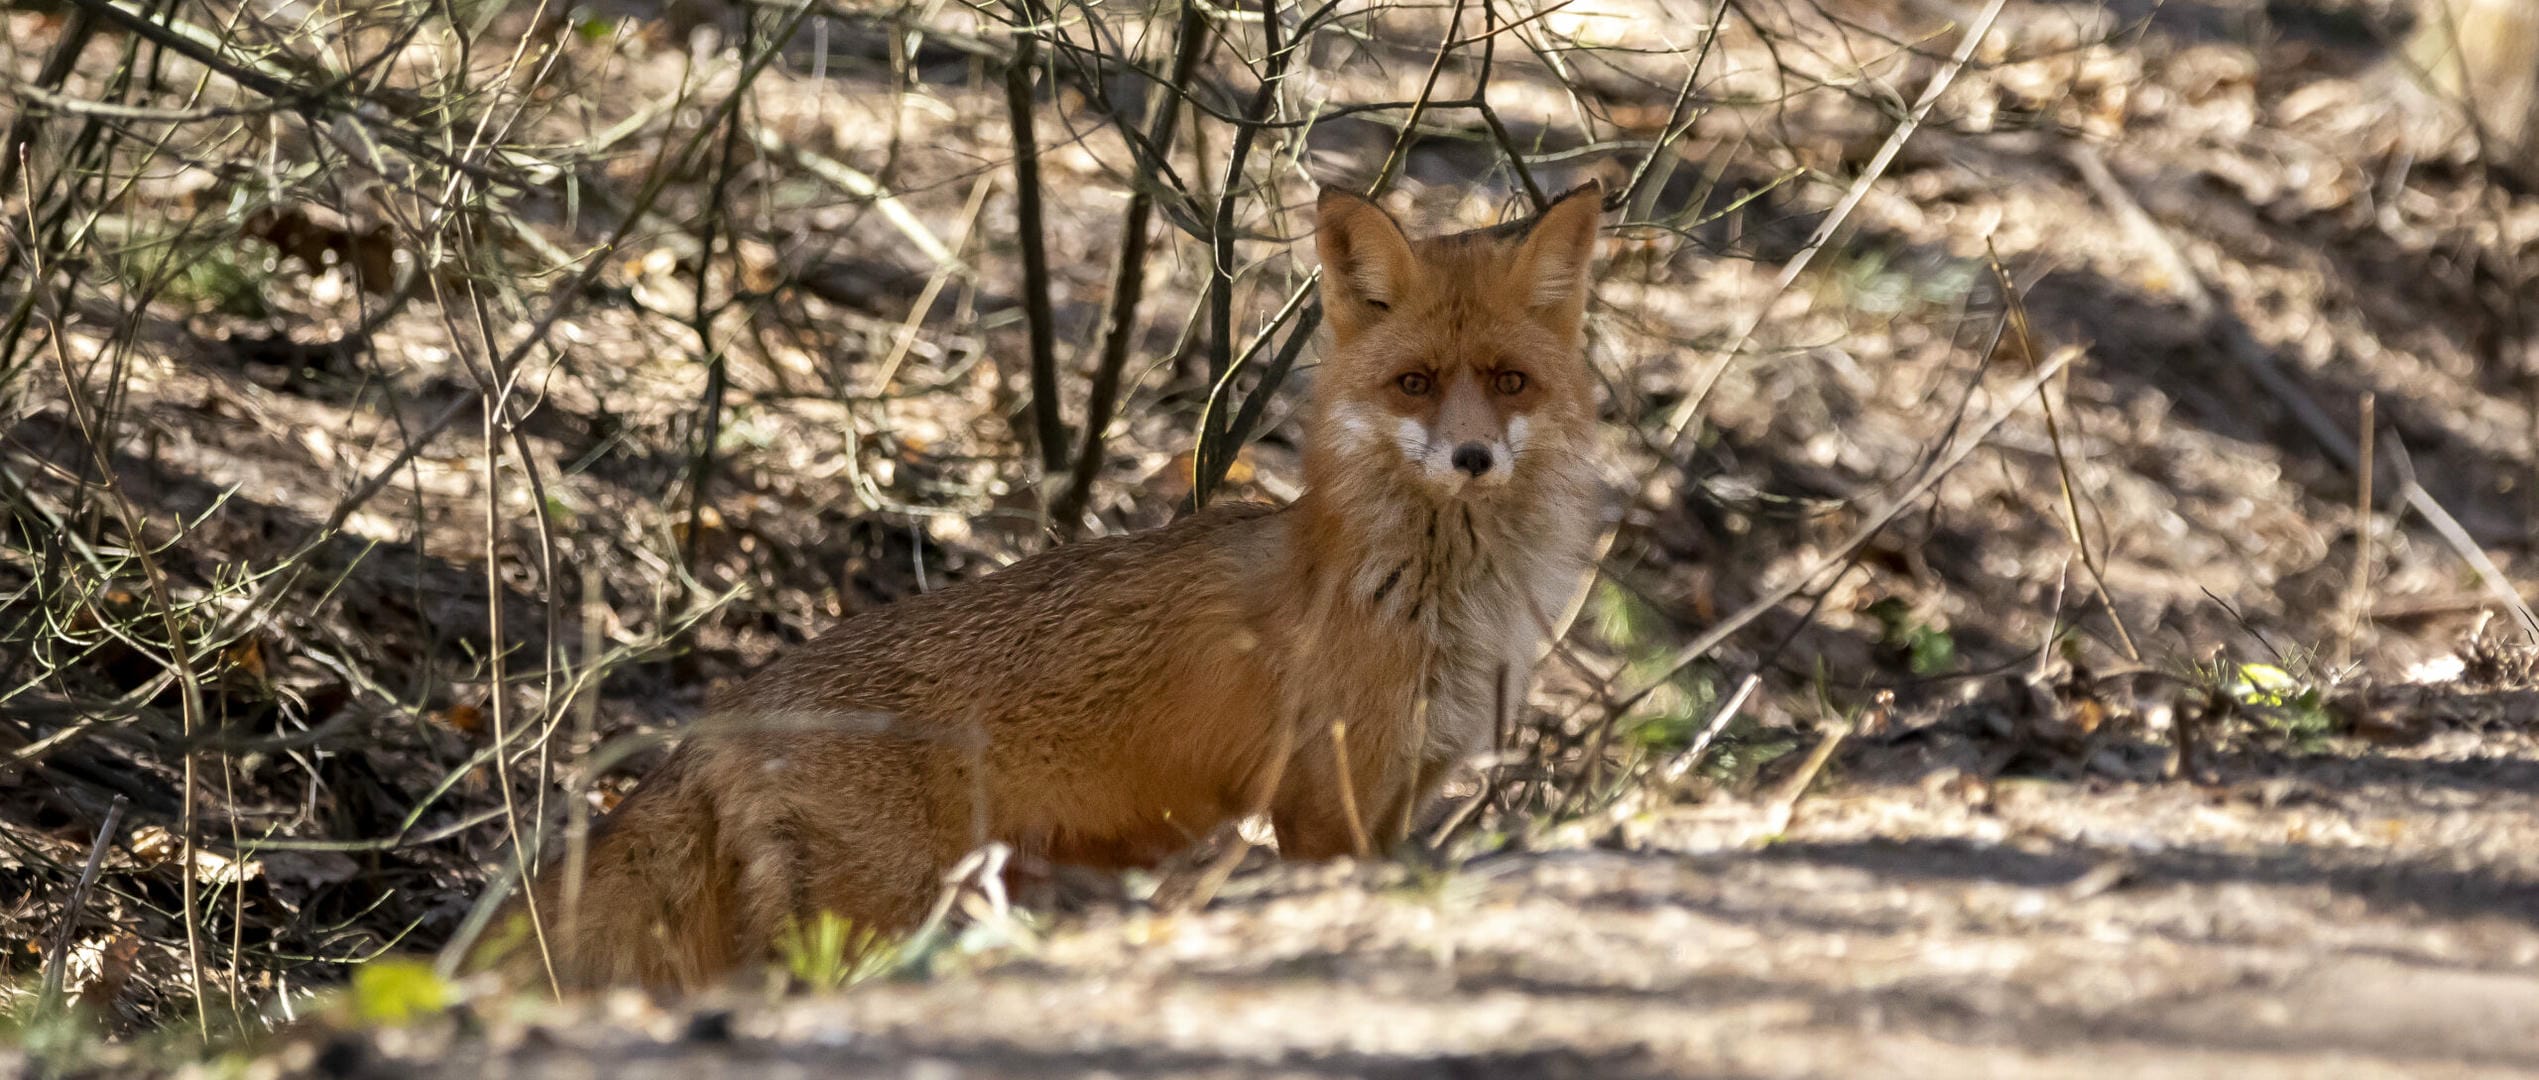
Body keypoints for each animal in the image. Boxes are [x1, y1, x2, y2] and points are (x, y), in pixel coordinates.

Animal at [477, 179, 1611, 991]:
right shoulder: (1324, 808)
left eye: (1508, 381)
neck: (1436, 602)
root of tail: (720, 716)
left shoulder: (1402, 802)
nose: (1470, 457)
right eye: (1415, 382)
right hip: (874, 924)